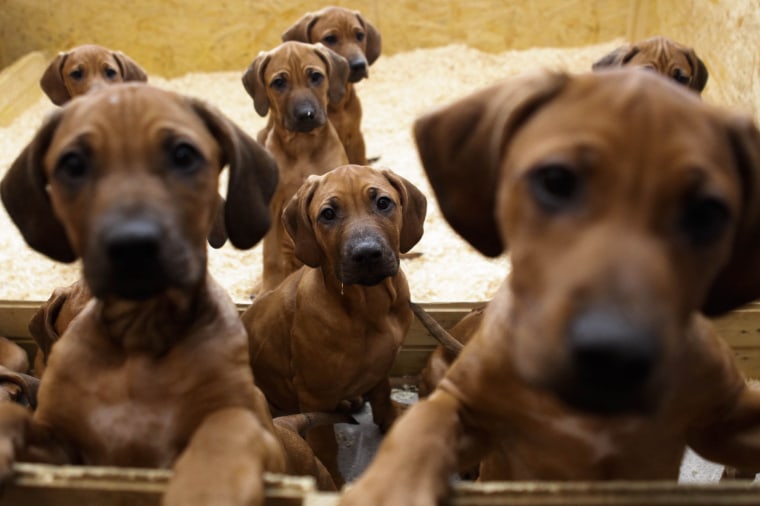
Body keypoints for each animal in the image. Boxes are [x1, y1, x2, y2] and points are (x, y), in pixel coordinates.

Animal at [0, 84, 286, 506]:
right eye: (72, 164)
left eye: (183, 155)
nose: (132, 246)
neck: (142, 334)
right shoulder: (62, 450)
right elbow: (19, 418)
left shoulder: (264, 440)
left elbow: (229, 423)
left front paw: (206, 486)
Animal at [243, 42, 350, 292]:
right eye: (279, 83)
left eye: (316, 77)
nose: (306, 115)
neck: (302, 145)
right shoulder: (273, 208)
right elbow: (271, 257)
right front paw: (268, 289)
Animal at [245, 164, 428, 484]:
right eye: (328, 214)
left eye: (383, 203)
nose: (367, 254)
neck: (369, 304)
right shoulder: (313, 397)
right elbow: (325, 445)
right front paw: (334, 482)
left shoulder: (382, 365)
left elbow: (382, 395)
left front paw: (391, 420)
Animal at [340, 68, 760, 506]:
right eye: (555, 181)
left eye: (707, 213)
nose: (612, 356)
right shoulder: (464, 406)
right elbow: (423, 430)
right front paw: (389, 487)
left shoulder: (725, 419)